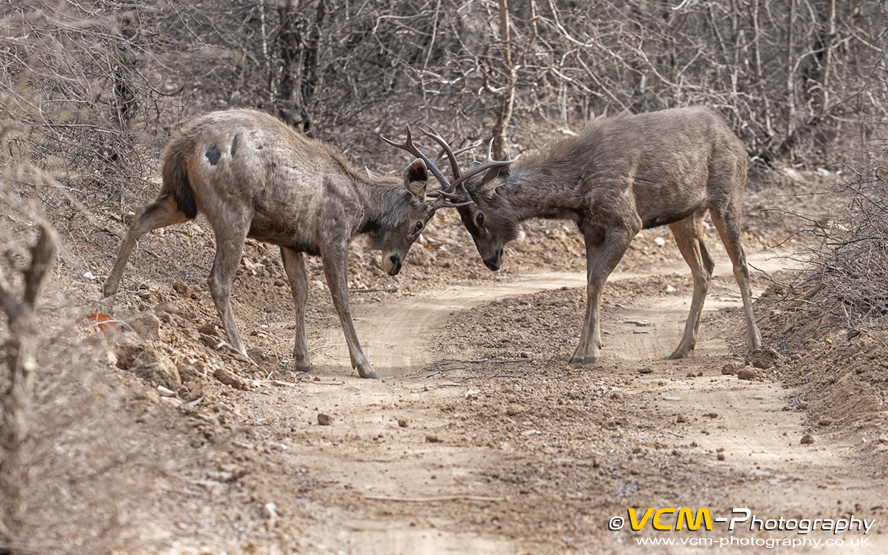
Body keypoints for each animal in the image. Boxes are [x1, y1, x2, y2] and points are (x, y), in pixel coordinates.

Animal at [103, 109, 463, 379]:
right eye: (419, 224)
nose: (395, 263)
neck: (362, 206)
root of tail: (183, 145)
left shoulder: (289, 240)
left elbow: (300, 291)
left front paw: (302, 359)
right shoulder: (333, 236)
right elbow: (341, 299)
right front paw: (364, 364)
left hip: (180, 199)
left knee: (138, 218)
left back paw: (107, 296)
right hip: (233, 210)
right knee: (218, 279)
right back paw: (239, 349)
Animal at [416, 106, 763, 364]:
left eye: (479, 216)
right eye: (464, 221)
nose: (491, 260)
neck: (576, 191)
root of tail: (738, 141)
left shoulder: (626, 221)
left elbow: (596, 280)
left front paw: (587, 353)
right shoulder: (591, 230)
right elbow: (589, 283)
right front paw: (581, 350)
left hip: (727, 198)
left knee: (740, 265)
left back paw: (755, 345)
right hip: (686, 216)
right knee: (705, 268)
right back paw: (682, 348)